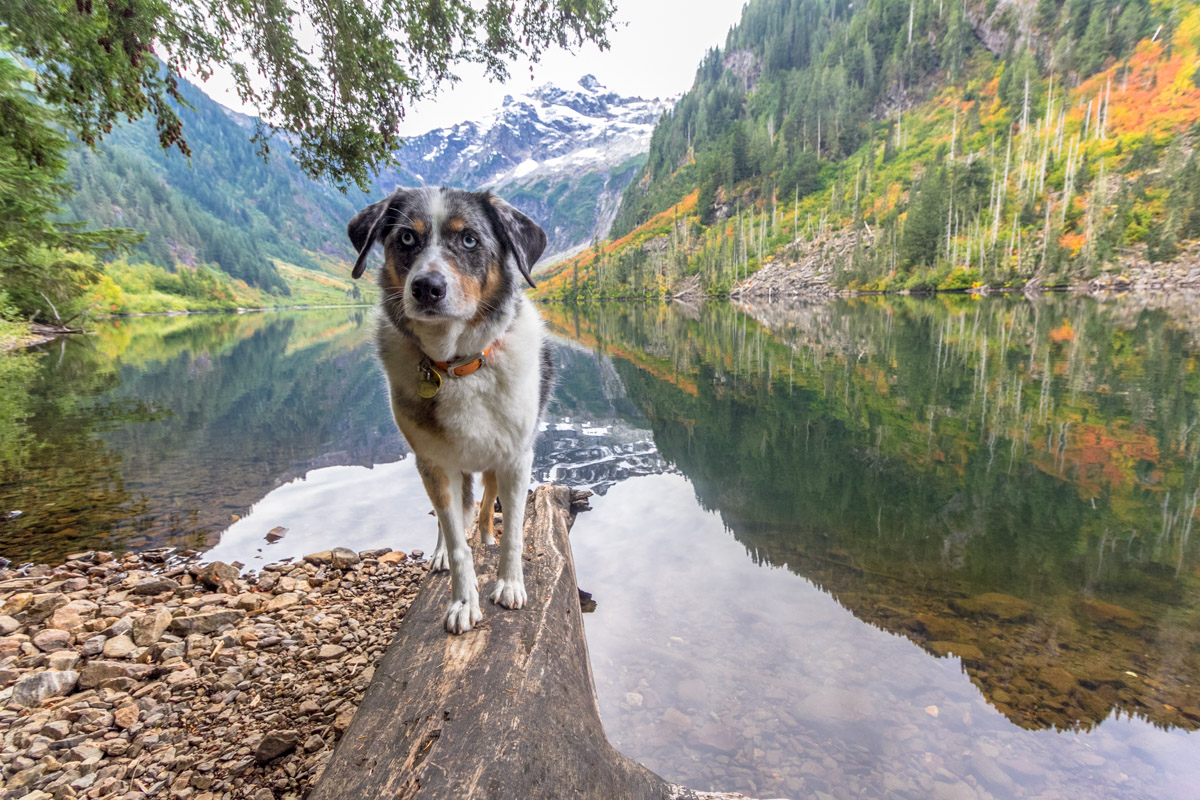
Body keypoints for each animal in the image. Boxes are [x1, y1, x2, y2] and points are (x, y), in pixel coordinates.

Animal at [348, 184, 552, 633]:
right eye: (406, 238)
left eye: (470, 240)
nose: (427, 287)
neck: (458, 365)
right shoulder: (435, 463)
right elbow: (457, 540)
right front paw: (462, 602)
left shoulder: (515, 458)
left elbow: (513, 529)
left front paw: (509, 584)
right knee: (451, 517)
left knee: (485, 503)